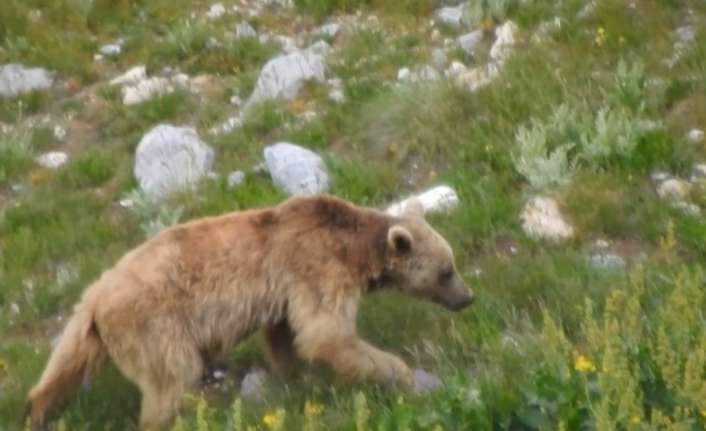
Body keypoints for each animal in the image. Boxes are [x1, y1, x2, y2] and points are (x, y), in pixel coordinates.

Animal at [27, 197, 470, 431]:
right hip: (154, 327)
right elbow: (327, 334)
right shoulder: (317, 266)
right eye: (446, 270)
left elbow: (286, 336)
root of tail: (98, 300)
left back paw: (36, 409)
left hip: (85, 326)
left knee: (61, 366)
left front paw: (296, 378)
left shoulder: (286, 292)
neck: (355, 250)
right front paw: (403, 375)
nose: (467, 297)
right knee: (169, 382)